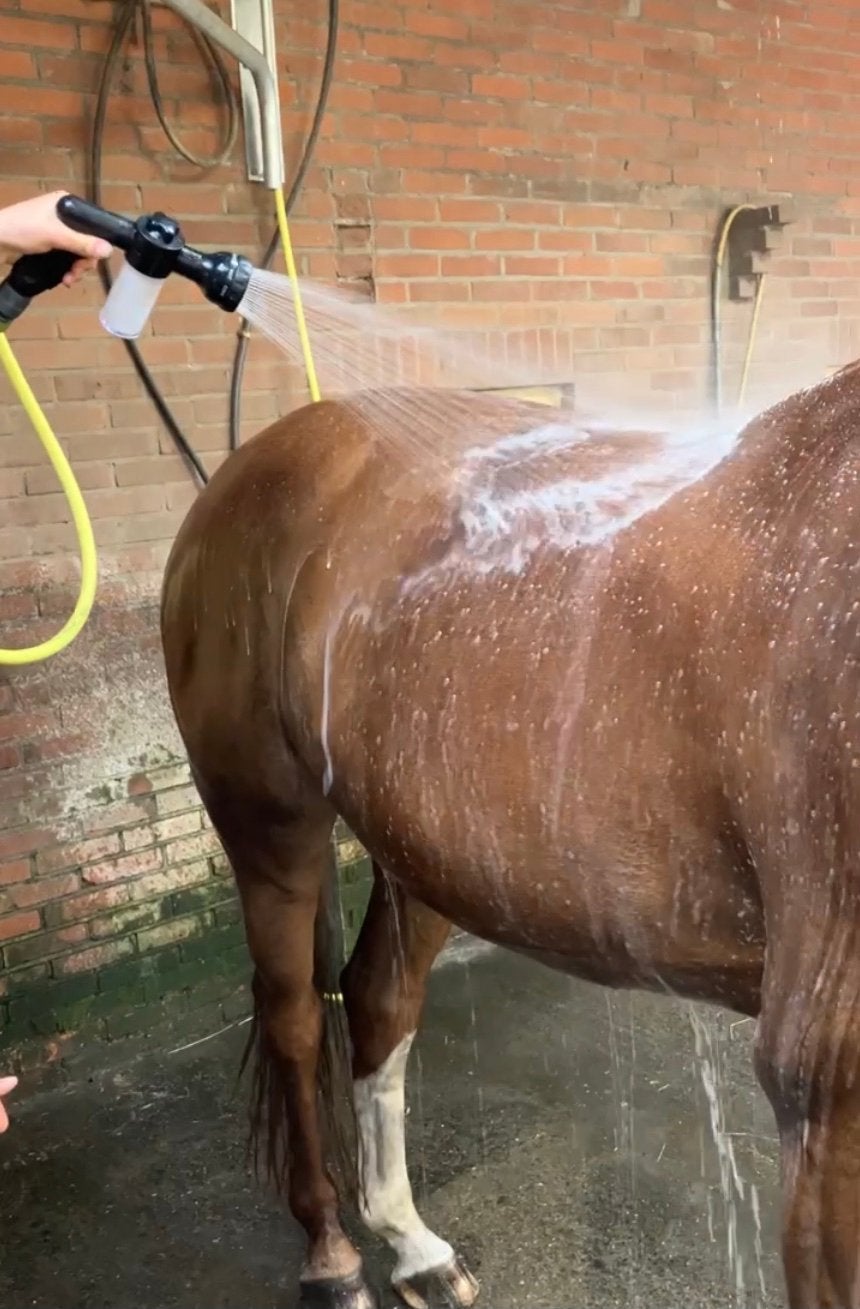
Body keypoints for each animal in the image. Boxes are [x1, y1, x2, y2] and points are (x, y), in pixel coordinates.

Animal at [160, 365, 860, 1309]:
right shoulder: (827, 1092)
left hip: (426, 845)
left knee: (378, 997)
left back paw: (412, 1244)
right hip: (272, 823)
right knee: (296, 1017)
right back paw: (332, 1256)